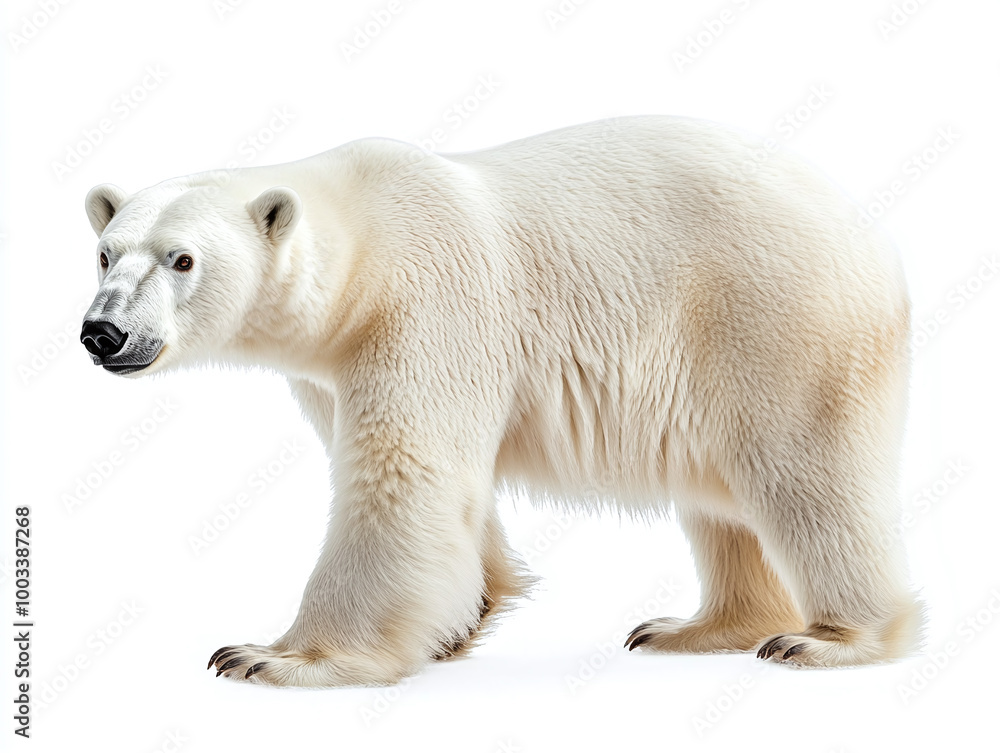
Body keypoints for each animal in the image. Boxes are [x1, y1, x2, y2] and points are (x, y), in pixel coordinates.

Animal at [81, 115, 922, 687]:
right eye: (104, 252)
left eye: (182, 259)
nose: (103, 332)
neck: (362, 242)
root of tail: (872, 237)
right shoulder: (328, 371)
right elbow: (447, 487)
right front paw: (461, 619)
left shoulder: (426, 303)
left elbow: (400, 472)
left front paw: (275, 654)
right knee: (720, 498)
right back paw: (693, 626)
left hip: (769, 316)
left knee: (805, 475)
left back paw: (830, 638)